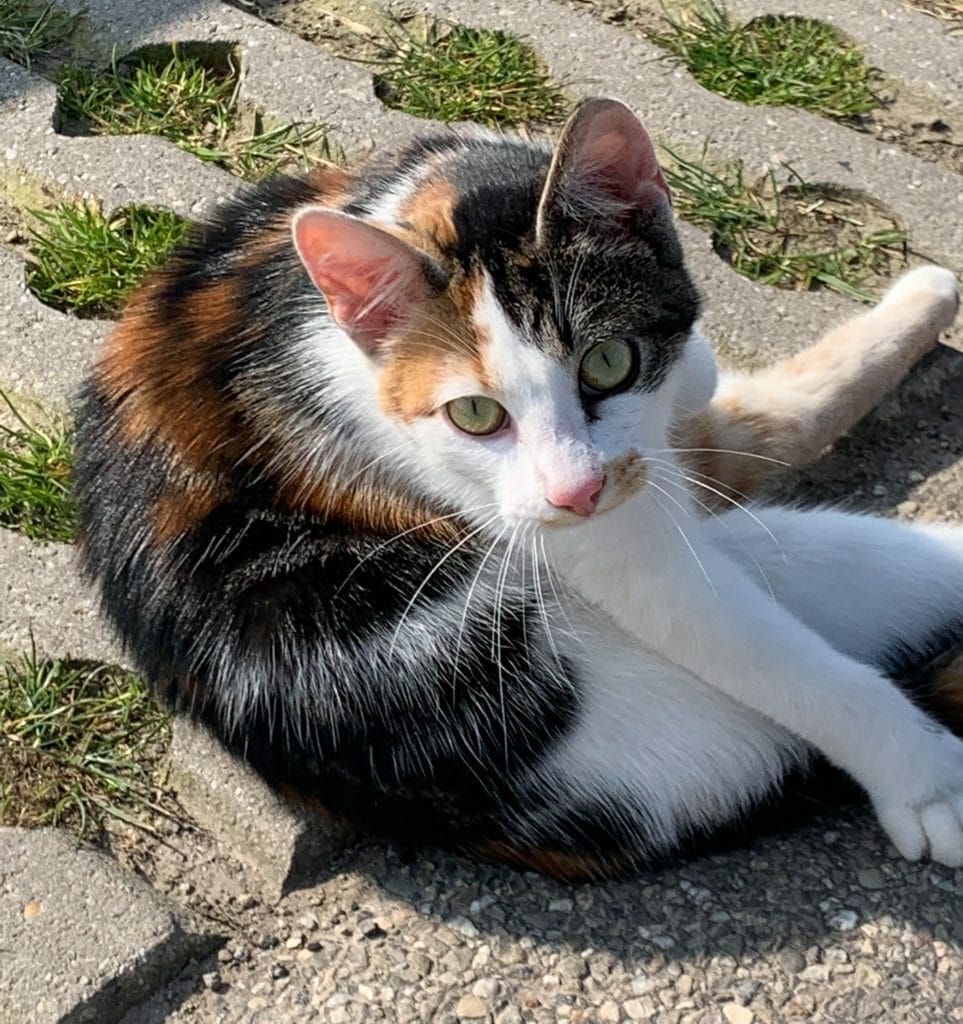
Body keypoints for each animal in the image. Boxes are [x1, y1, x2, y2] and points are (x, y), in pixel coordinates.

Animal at [75, 99, 963, 876]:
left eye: (608, 362)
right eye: (473, 414)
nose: (576, 492)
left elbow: (714, 391)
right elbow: (758, 643)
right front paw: (922, 777)